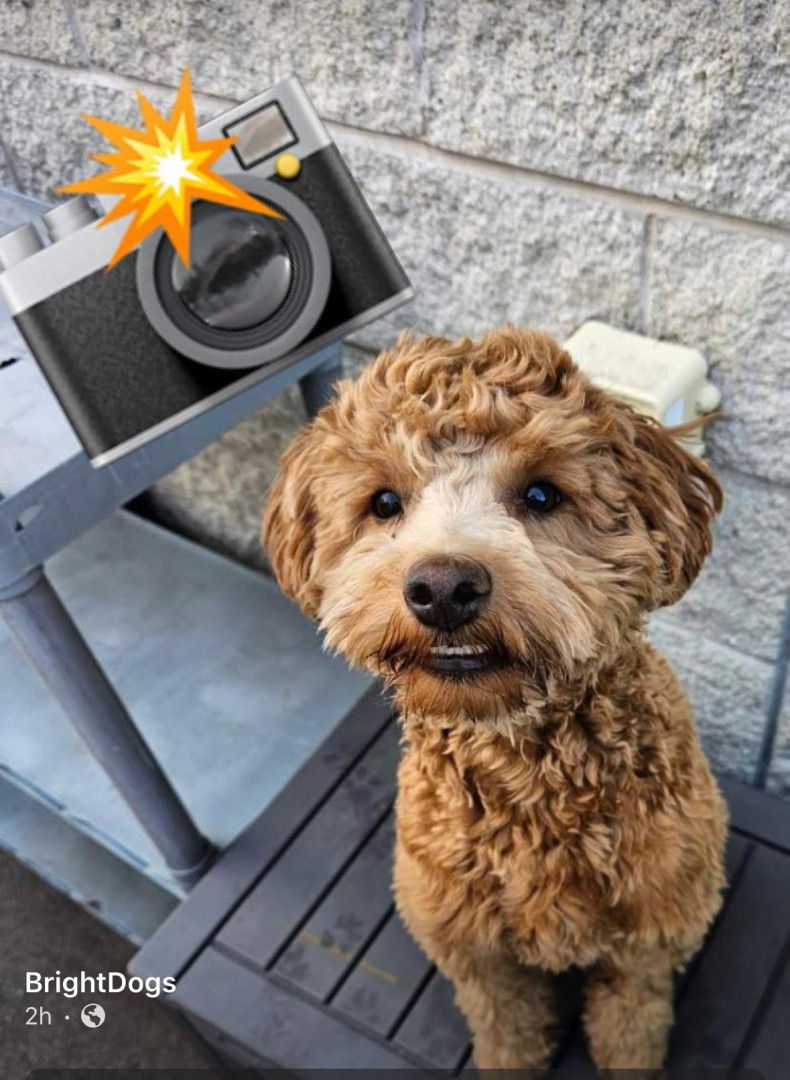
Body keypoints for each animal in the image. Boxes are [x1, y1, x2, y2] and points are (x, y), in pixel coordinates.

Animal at [263, 328, 727, 1073]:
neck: (531, 772)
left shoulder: (651, 939)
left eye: (541, 494)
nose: (442, 588)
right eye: (384, 503)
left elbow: (631, 1026)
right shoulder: (472, 946)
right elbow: (506, 1027)